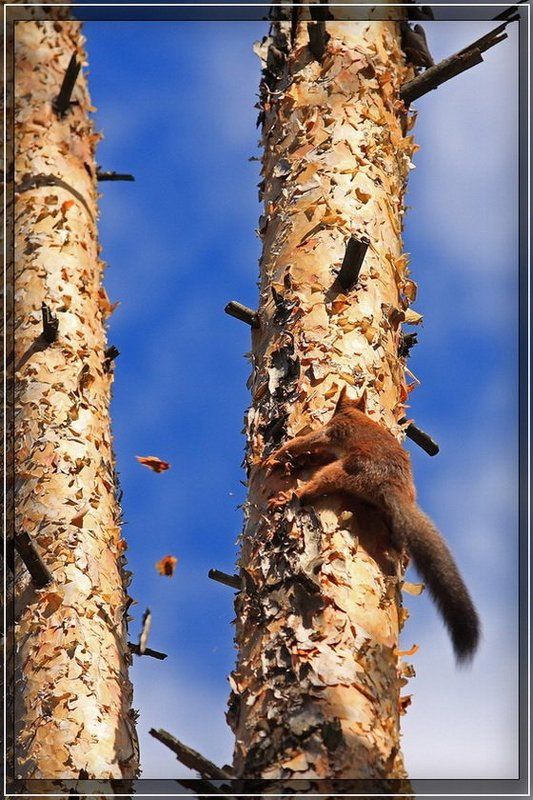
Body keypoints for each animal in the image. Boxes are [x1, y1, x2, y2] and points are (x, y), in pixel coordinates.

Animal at [264, 388, 480, 664]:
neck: (353, 412)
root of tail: (391, 487)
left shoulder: (331, 431)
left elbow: (306, 441)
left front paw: (276, 457)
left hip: (345, 471)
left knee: (317, 485)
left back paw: (292, 496)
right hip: (387, 517)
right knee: (397, 544)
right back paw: (400, 555)